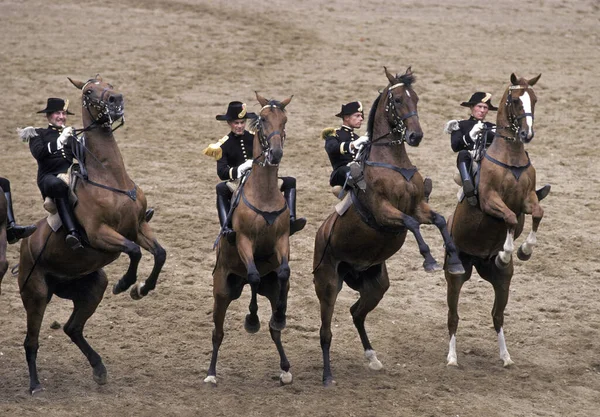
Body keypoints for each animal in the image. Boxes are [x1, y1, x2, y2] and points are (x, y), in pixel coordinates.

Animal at [18, 75, 166, 394]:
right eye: (89, 91)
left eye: (109, 82)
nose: (116, 99)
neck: (111, 179)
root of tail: (25, 247)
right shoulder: (101, 235)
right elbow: (133, 251)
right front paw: (126, 283)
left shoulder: (138, 227)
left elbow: (159, 253)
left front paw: (142, 289)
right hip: (36, 295)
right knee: (31, 342)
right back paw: (35, 385)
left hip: (92, 286)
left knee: (73, 328)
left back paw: (99, 368)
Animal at [205, 92, 296, 386]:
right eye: (264, 120)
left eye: (284, 120)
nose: (276, 153)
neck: (264, 194)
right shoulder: (245, 241)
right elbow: (254, 275)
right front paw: (251, 318)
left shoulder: (282, 240)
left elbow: (284, 272)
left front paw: (278, 316)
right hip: (222, 291)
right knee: (218, 332)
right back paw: (211, 373)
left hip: (271, 288)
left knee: (274, 326)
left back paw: (284, 366)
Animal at [312, 66, 462, 386]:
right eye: (397, 99)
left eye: (415, 97)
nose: (415, 135)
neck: (391, 162)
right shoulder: (384, 212)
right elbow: (411, 224)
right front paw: (430, 260)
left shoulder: (418, 206)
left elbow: (440, 220)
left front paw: (454, 260)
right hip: (327, 285)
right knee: (325, 332)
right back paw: (328, 376)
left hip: (376, 286)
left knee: (356, 313)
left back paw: (372, 358)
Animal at [442, 73, 548, 366]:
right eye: (515, 100)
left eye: (534, 99)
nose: (527, 134)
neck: (510, 158)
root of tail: (476, 260)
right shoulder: (491, 201)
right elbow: (510, 218)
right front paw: (507, 251)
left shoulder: (527, 200)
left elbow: (536, 214)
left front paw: (523, 250)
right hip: (455, 276)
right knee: (453, 317)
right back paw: (452, 357)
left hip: (502, 282)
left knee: (497, 316)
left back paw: (506, 356)